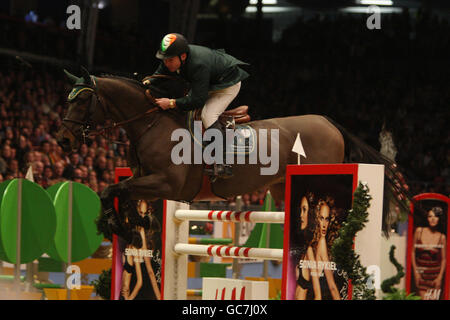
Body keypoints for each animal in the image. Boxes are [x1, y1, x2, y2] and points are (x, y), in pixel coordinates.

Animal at [57, 69, 412, 236]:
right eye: (66, 98)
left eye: (82, 99)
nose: (63, 141)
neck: (150, 123)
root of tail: (330, 122)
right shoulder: (148, 183)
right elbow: (116, 190)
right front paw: (129, 223)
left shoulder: (165, 183)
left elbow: (111, 188)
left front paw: (114, 225)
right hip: (281, 188)